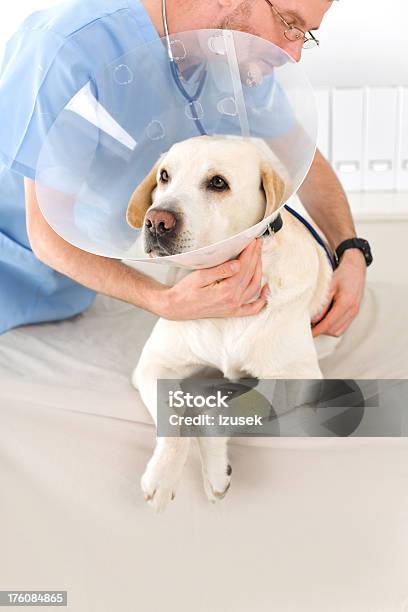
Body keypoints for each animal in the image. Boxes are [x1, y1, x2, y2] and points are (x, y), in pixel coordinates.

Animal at [126, 136, 334, 512]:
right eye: (164, 176)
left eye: (217, 183)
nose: (156, 221)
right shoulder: (154, 364)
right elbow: (174, 415)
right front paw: (162, 476)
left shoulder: (298, 378)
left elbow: (220, 411)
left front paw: (215, 471)